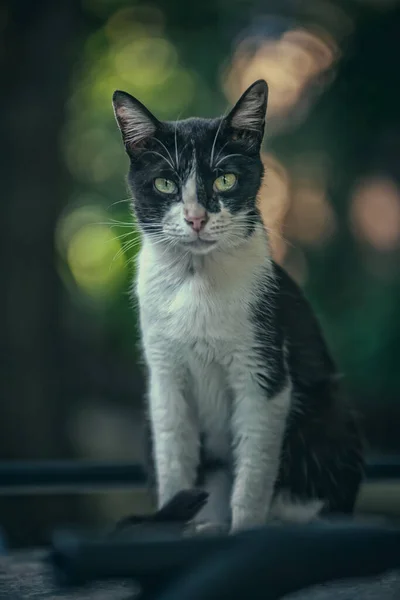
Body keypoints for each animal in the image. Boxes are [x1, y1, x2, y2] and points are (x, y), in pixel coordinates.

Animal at [111, 77, 364, 532]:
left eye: (225, 179)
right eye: (165, 184)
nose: (196, 218)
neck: (196, 278)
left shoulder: (262, 369)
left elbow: (255, 470)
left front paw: (245, 529)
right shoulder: (164, 378)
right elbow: (173, 456)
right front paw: (174, 521)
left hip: (331, 417)